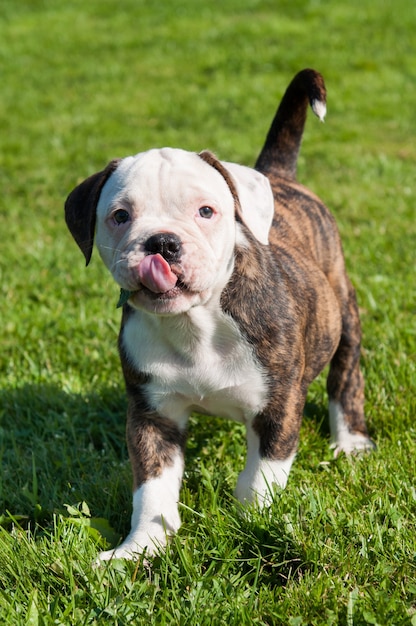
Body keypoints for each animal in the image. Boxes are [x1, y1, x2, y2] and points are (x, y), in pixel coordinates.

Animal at [64, 69, 374, 560]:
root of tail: (277, 177)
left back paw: (351, 441)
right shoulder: (153, 416)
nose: (161, 242)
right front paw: (139, 549)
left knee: (346, 372)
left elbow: (259, 479)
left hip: (343, 308)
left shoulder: (278, 408)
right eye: (120, 216)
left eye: (206, 211)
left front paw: (254, 527)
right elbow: (152, 489)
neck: (195, 323)